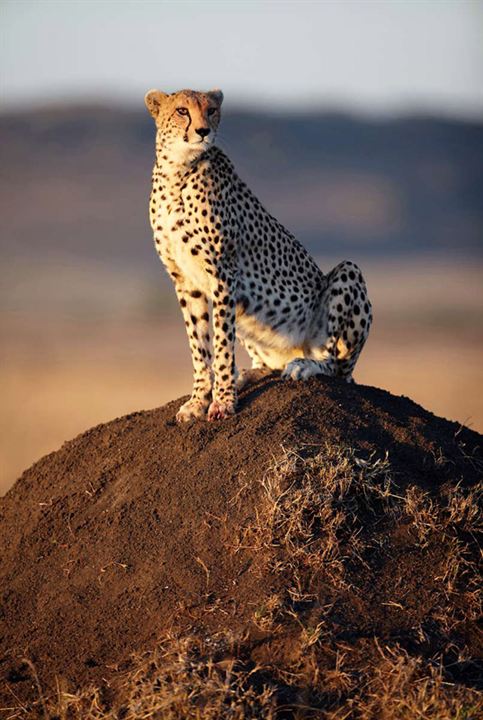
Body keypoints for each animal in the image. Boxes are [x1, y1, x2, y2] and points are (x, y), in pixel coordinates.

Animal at [146, 88, 372, 422]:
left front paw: (223, 401)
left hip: (347, 274)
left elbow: (221, 345)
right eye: (182, 111)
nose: (203, 131)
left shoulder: (223, 273)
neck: (178, 168)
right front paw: (199, 399)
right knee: (268, 365)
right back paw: (248, 374)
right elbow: (199, 345)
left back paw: (304, 366)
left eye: (211, 110)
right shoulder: (185, 280)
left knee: (334, 364)